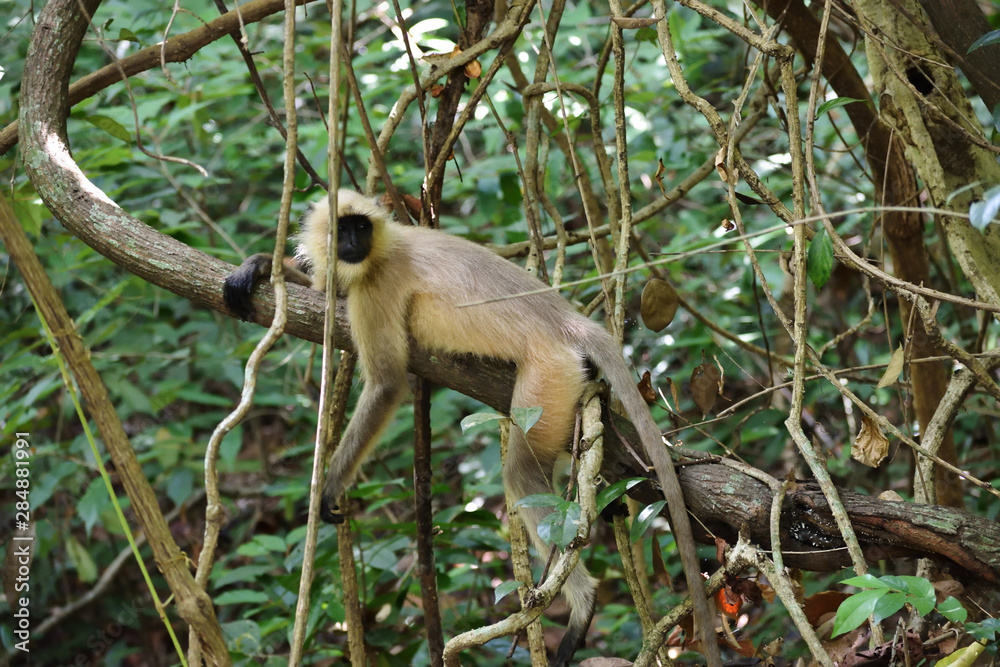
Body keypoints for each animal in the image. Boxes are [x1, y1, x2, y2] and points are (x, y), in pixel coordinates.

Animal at [223, 190, 715, 666]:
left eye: (360, 228)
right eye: (344, 230)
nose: (353, 244)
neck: (383, 249)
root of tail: (567, 318)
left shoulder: (377, 282)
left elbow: (387, 384)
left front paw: (330, 485)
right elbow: (325, 297)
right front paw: (259, 267)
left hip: (549, 375)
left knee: (521, 475)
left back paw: (581, 606)